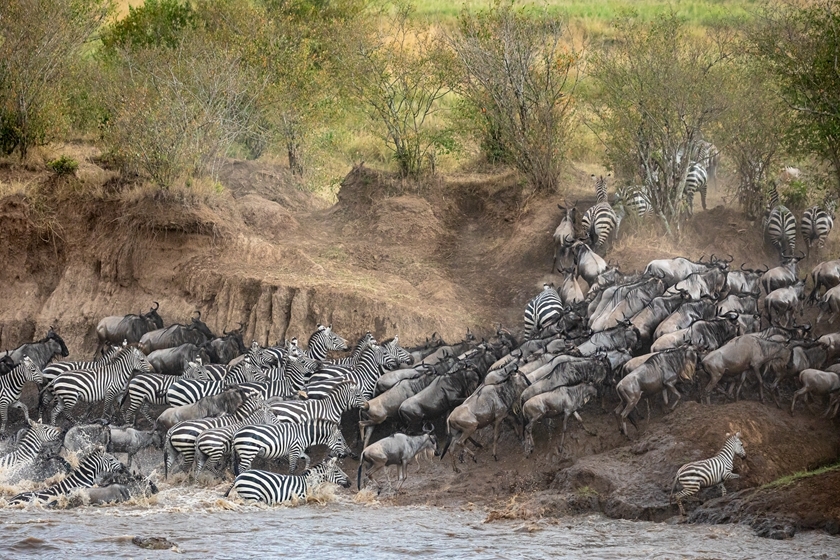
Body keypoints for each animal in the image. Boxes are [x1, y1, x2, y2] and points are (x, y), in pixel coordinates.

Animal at [223, 458, 352, 506]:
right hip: (251, 495)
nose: (350, 482)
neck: (308, 483)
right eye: (337, 471)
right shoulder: (299, 498)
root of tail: (239, 476)